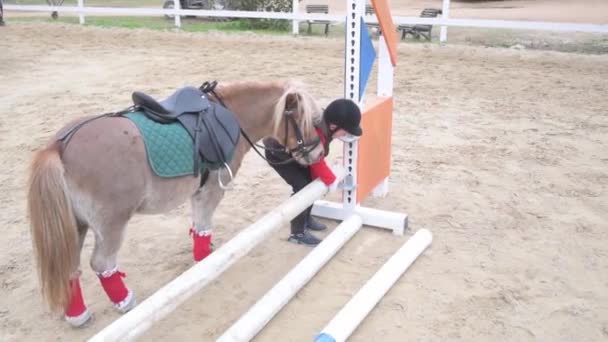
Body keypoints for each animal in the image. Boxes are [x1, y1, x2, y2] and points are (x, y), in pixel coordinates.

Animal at [26, 79, 326, 326]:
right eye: (309, 120)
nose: (318, 154)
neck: (232, 117)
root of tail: (60, 146)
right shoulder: (212, 192)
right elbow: (203, 227)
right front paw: (205, 263)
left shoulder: (199, 192)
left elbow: (198, 228)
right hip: (111, 224)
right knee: (102, 264)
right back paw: (125, 302)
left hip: (75, 224)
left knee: (70, 267)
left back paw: (78, 315)